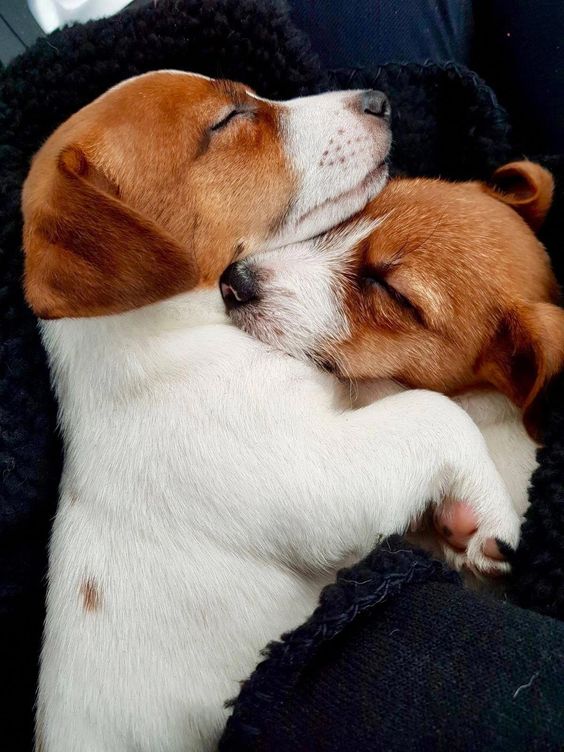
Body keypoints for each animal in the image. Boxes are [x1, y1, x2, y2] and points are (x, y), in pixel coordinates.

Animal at [20, 67, 516, 748]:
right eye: (227, 120)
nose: (379, 100)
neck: (172, 339)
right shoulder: (314, 472)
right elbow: (437, 412)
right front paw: (492, 517)